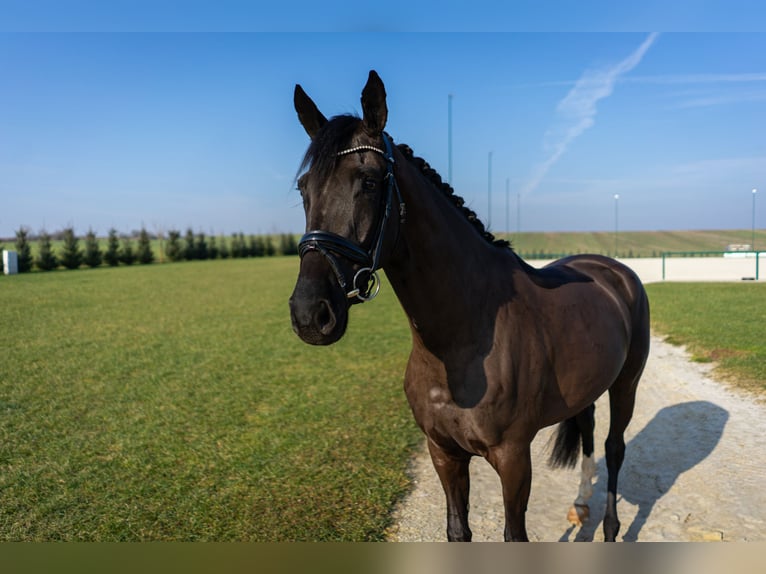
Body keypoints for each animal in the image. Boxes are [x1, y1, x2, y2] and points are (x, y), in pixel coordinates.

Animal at [292, 70, 652, 544]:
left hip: (626, 383)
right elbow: (457, 530)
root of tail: (614, 271)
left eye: (368, 181)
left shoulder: (514, 459)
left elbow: (514, 534)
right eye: (303, 189)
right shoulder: (444, 453)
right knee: (590, 431)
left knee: (614, 448)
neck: (464, 338)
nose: (309, 314)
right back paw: (579, 506)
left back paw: (609, 526)